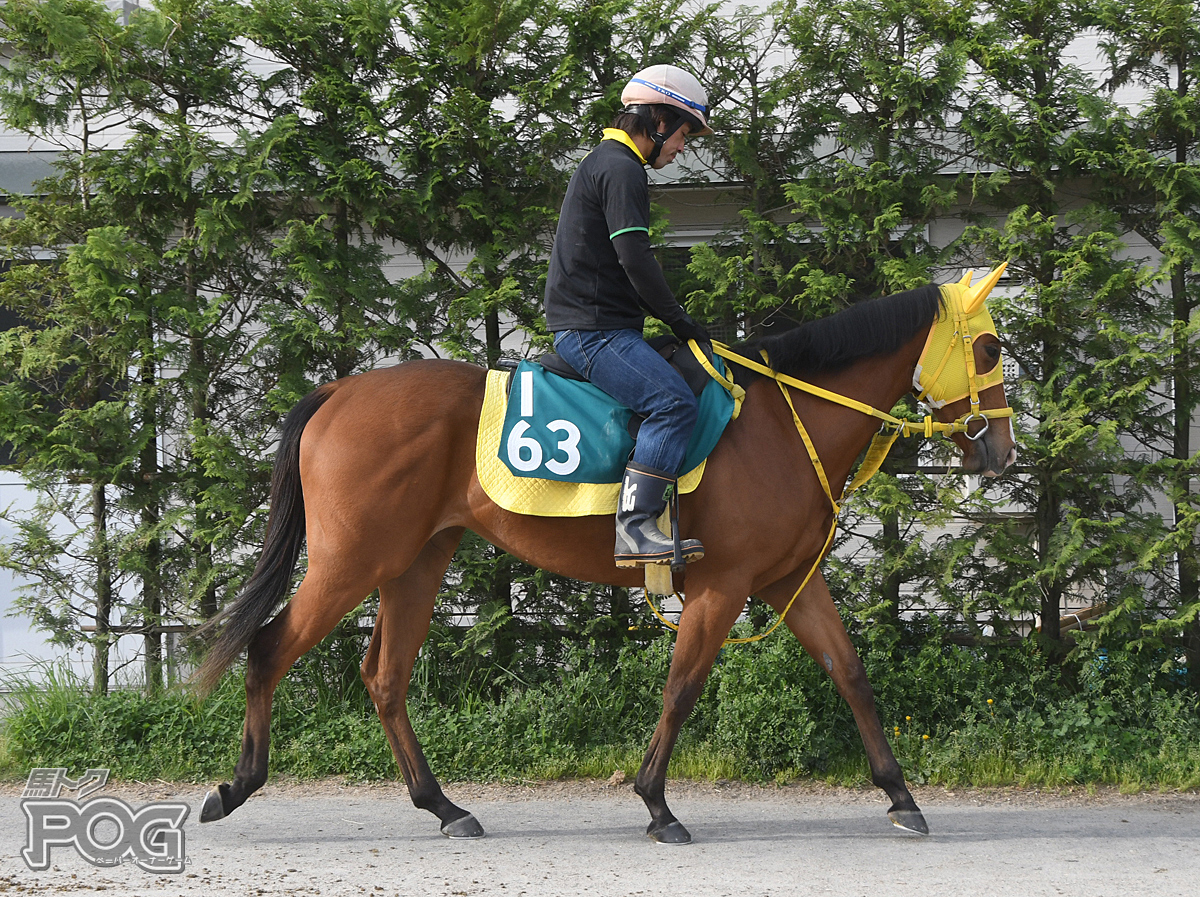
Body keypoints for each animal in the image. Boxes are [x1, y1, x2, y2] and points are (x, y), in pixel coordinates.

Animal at [194, 266, 1012, 839]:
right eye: (990, 346)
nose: (1000, 450)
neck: (785, 421)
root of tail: (338, 391)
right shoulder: (722, 586)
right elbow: (682, 688)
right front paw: (656, 803)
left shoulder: (786, 582)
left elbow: (851, 675)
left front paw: (901, 794)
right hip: (351, 561)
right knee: (270, 647)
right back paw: (235, 786)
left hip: (415, 563)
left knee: (385, 678)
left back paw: (444, 805)